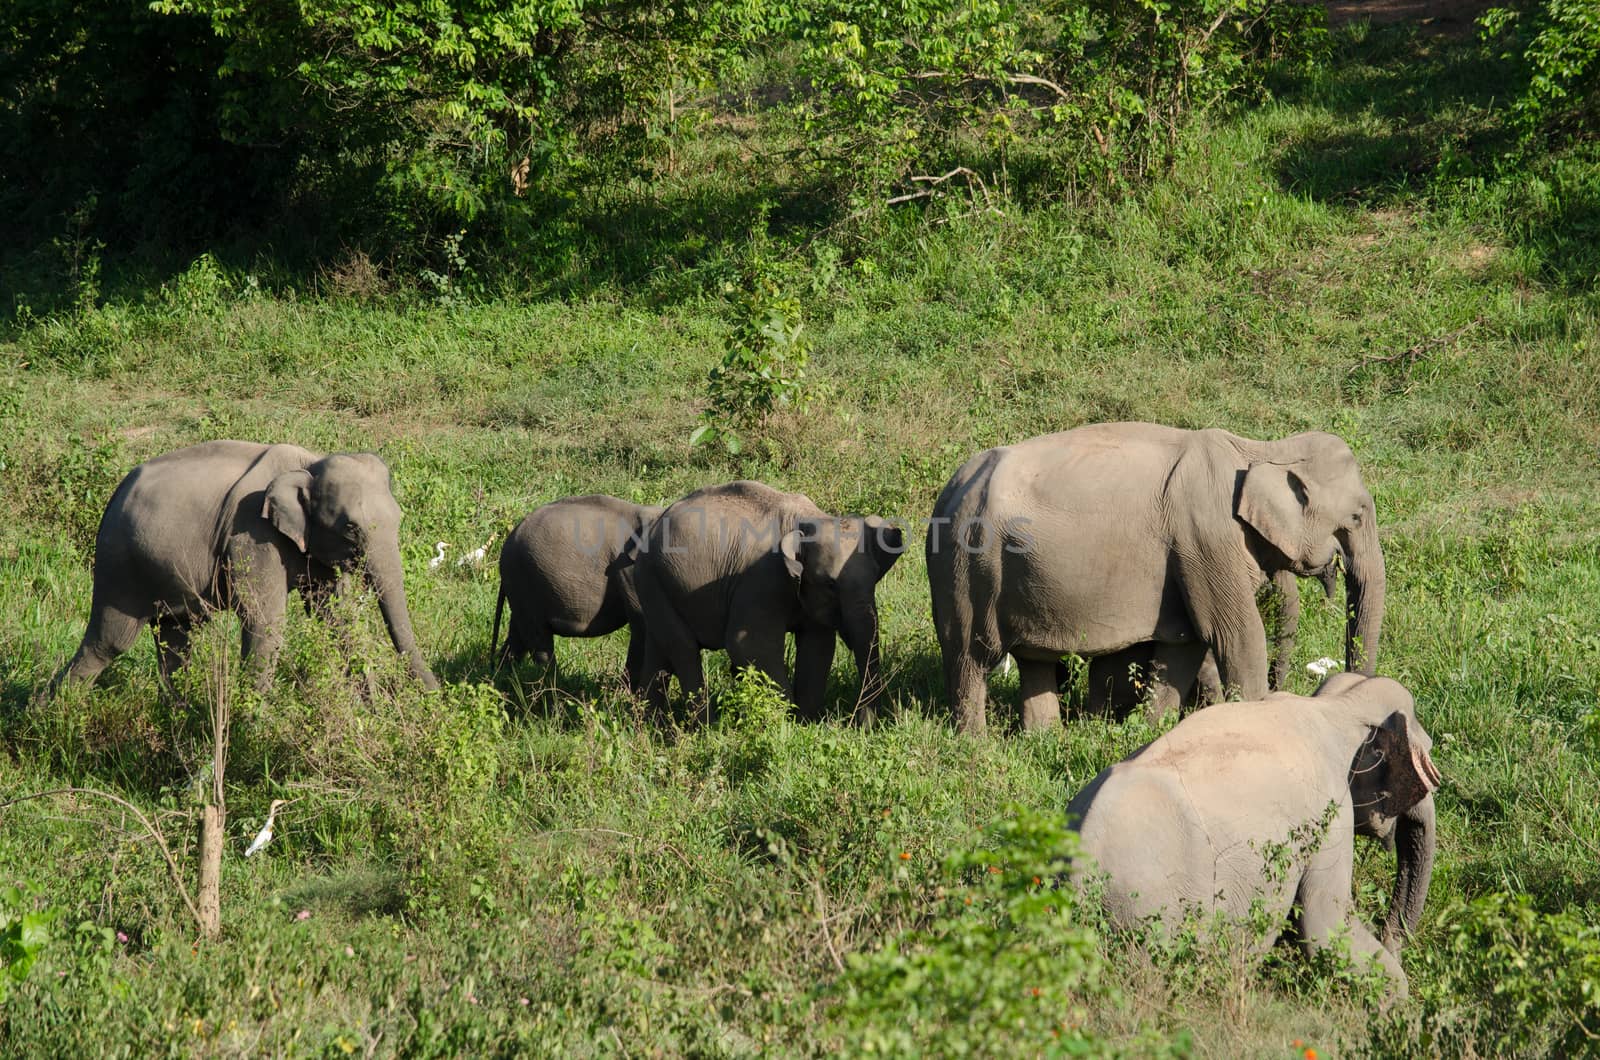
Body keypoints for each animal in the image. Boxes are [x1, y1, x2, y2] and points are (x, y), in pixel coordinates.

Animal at [50, 438, 438, 698]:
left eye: (399, 518)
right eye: (351, 528)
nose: (435, 697)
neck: (308, 463)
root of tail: (115, 493)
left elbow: (336, 619)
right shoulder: (252, 532)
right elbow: (265, 622)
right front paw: (255, 728)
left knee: (175, 641)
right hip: (119, 563)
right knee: (109, 642)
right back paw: (51, 717)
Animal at [486, 499, 662, 698]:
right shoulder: (629, 572)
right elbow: (642, 624)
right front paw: (626, 696)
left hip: (520, 590)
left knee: (517, 638)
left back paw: (499, 684)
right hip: (525, 582)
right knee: (539, 643)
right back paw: (554, 693)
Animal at [620, 483, 902, 726]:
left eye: (876, 578)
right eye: (831, 584)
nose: (860, 724)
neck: (810, 519)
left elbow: (818, 647)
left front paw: (806, 723)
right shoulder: (761, 578)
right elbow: (749, 645)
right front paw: (785, 724)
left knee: (660, 649)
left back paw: (648, 725)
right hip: (652, 580)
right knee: (684, 649)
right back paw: (704, 728)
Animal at [934, 419, 1382, 736]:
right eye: (1357, 516)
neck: (1261, 448)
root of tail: (952, 487)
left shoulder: (1191, 558)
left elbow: (1183, 647)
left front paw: (1151, 731)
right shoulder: (1207, 540)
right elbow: (1236, 635)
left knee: (1034, 661)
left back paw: (1043, 740)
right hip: (962, 568)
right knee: (968, 657)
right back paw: (975, 744)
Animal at [1068, 675, 1446, 999]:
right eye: (1427, 767)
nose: (1392, 938)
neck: (1334, 705)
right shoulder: (1331, 816)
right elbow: (1325, 926)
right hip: (1150, 911)